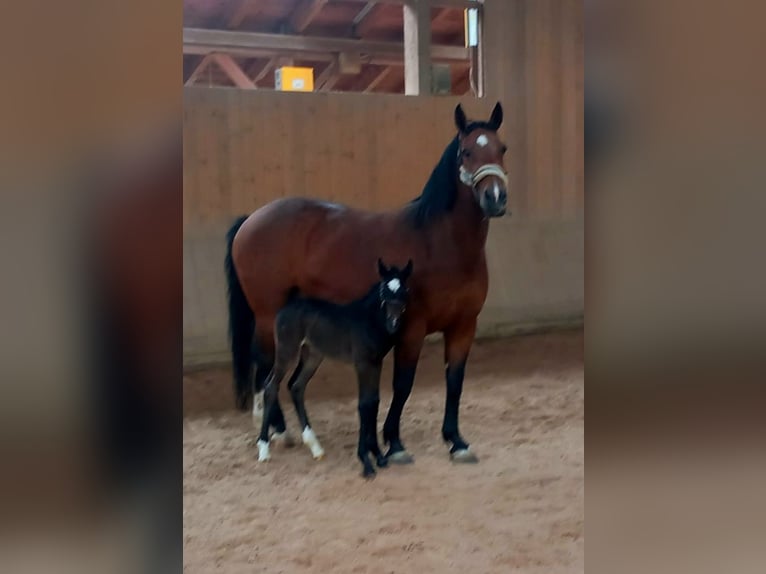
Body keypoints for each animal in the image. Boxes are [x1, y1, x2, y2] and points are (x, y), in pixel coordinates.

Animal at [256, 259, 413, 478]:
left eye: (404, 291)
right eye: (384, 291)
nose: (393, 324)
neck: (368, 319)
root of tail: (285, 308)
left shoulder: (376, 363)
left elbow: (374, 402)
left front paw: (379, 456)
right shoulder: (362, 363)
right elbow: (364, 404)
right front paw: (366, 462)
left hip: (313, 356)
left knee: (296, 386)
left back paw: (315, 447)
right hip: (287, 352)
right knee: (271, 386)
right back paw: (263, 449)